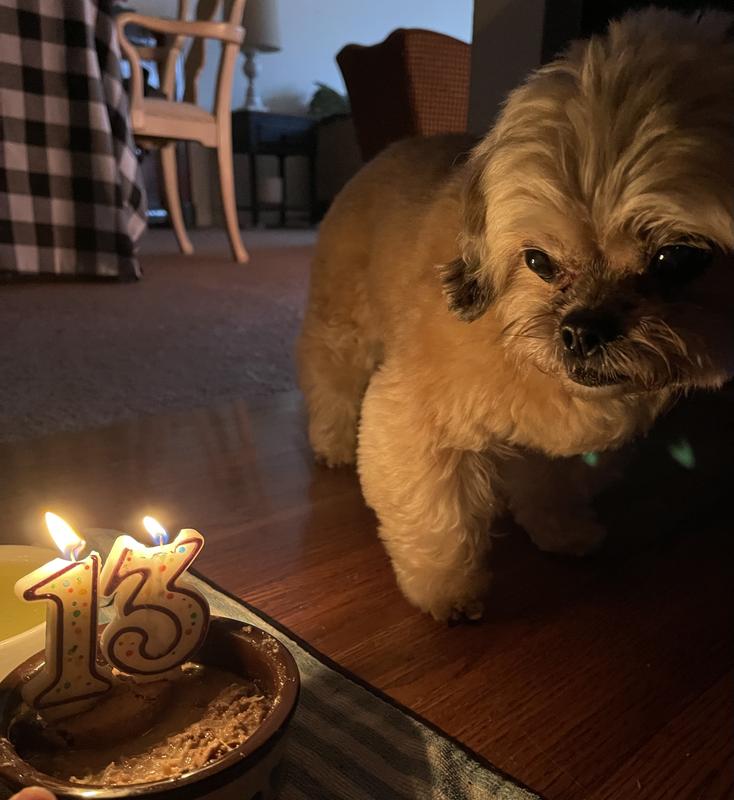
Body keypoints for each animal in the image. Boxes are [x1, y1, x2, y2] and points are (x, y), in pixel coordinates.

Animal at [296, 9, 734, 620]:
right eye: (538, 261)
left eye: (677, 259)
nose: (582, 331)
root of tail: (389, 149)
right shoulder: (414, 420)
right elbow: (437, 518)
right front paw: (447, 590)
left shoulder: (566, 451)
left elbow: (551, 485)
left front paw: (562, 531)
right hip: (344, 327)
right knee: (331, 382)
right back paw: (331, 442)